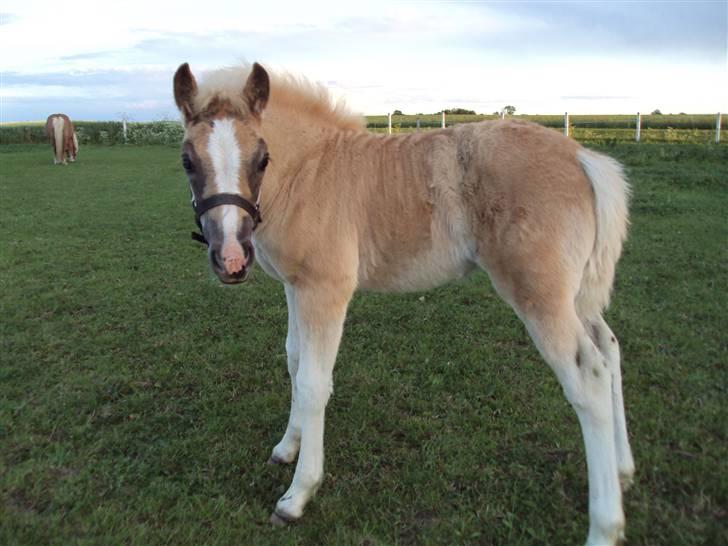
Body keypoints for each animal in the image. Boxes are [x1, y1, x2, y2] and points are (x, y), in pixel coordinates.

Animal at [173, 61, 636, 540]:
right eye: (187, 160)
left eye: (262, 158)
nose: (230, 258)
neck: (309, 173)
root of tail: (583, 158)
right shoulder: (295, 286)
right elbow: (294, 360)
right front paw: (288, 446)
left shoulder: (325, 288)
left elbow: (314, 383)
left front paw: (297, 494)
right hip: (575, 295)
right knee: (609, 348)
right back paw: (623, 471)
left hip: (540, 294)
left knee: (589, 378)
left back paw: (604, 527)